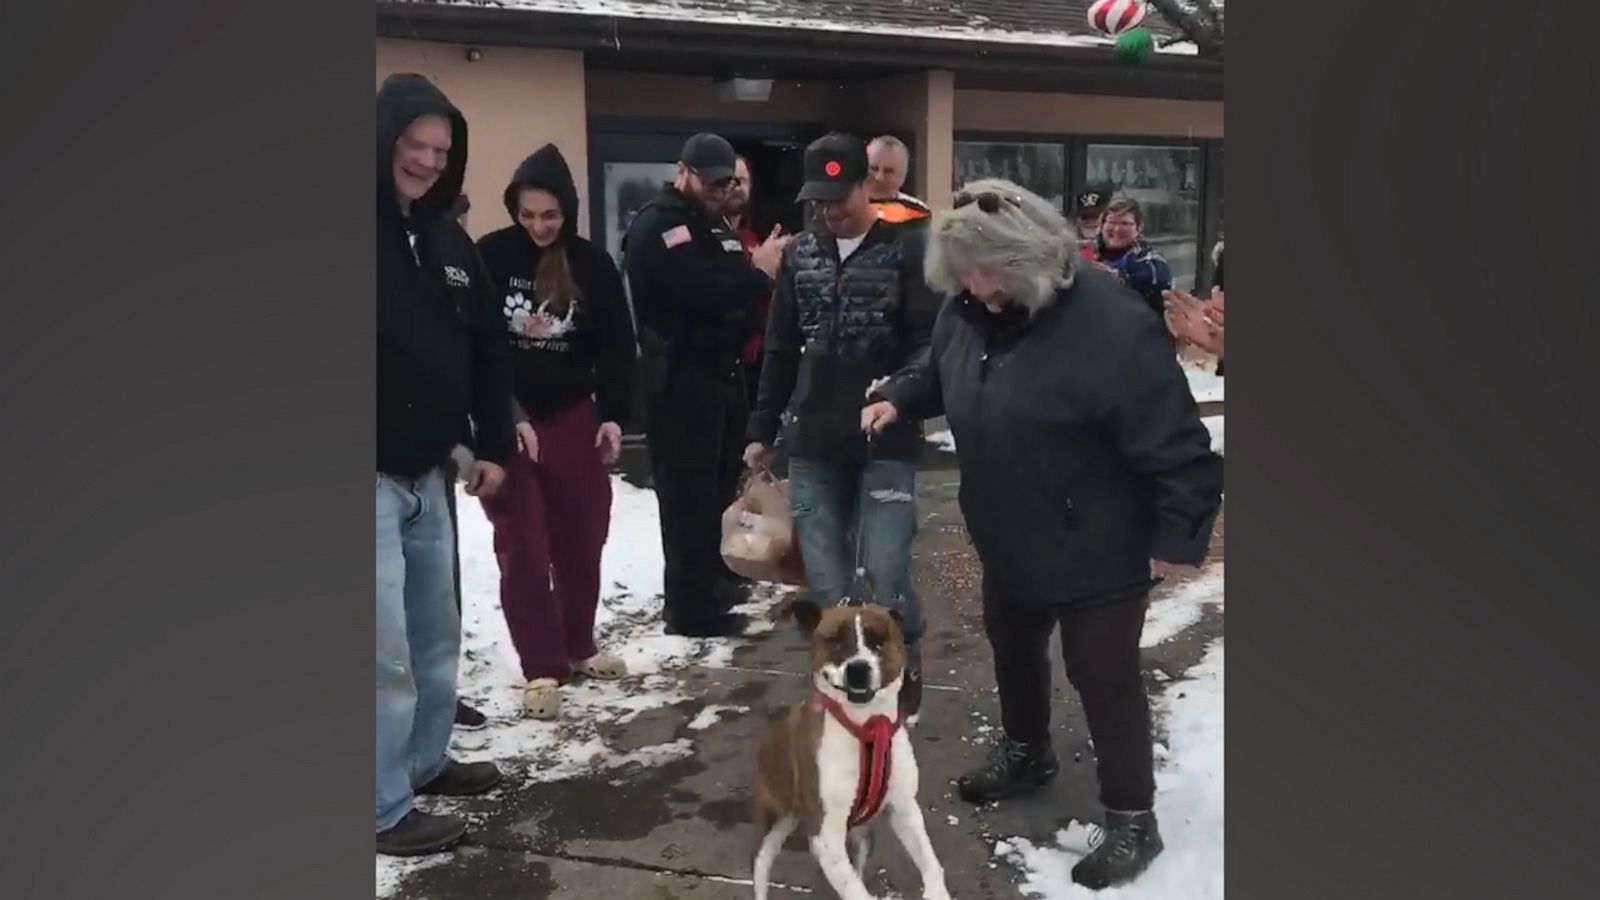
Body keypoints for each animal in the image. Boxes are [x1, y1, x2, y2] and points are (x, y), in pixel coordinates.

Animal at [748, 598, 947, 896]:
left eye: (878, 641)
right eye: (835, 641)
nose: (858, 669)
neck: (867, 727)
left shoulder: (905, 809)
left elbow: (930, 862)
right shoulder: (825, 836)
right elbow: (855, 891)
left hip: (860, 837)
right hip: (771, 829)